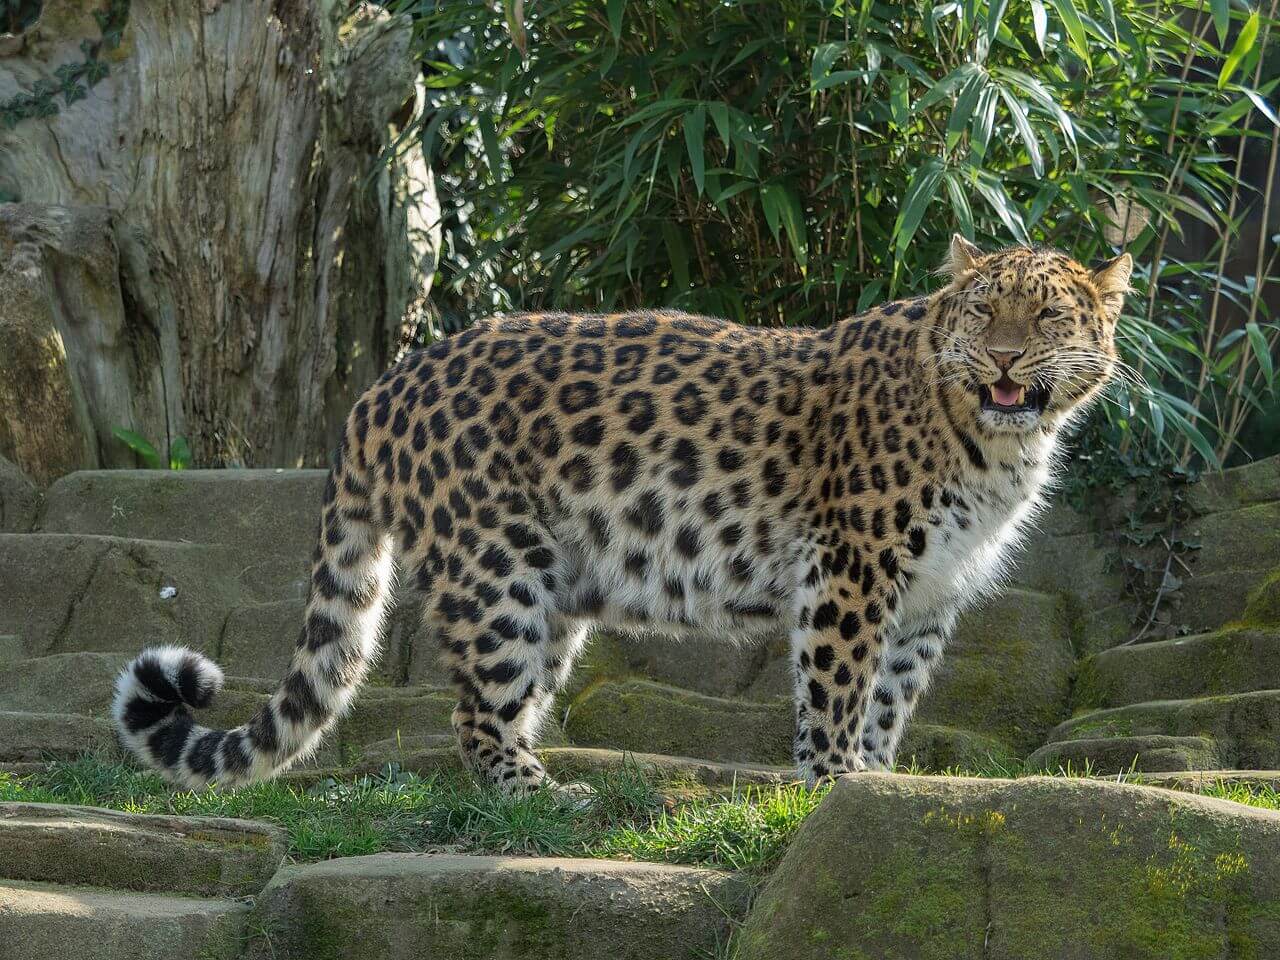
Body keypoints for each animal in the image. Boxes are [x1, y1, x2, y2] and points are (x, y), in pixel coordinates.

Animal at [112, 236, 1132, 792]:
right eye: (984, 312)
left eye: (1047, 320)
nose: (1004, 361)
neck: (998, 444)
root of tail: (383, 386)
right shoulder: (851, 569)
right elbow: (839, 689)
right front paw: (834, 783)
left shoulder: (928, 592)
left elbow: (892, 694)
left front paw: (875, 786)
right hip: (496, 569)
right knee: (475, 714)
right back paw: (544, 799)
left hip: (555, 585)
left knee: (509, 701)